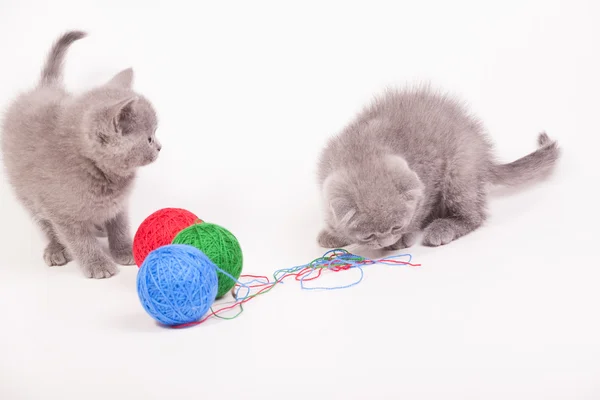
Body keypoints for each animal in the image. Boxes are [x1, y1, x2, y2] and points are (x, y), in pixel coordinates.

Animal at [0, 31, 162, 276]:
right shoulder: (61, 212)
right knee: (43, 223)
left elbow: (120, 226)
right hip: (24, 192)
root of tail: (44, 87)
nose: (160, 147)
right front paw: (98, 265)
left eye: (154, 134)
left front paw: (124, 250)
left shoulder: (119, 204)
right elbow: (79, 240)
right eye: (149, 138)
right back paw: (55, 248)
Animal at [316, 88, 560, 250]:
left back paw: (443, 228)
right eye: (369, 236)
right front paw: (334, 233)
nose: (387, 242)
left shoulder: (428, 178)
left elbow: (420, 209)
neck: (362, 151)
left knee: (474, 216)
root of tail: (483, 156)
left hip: (460, 172)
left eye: (396, 227)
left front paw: (404, 238)